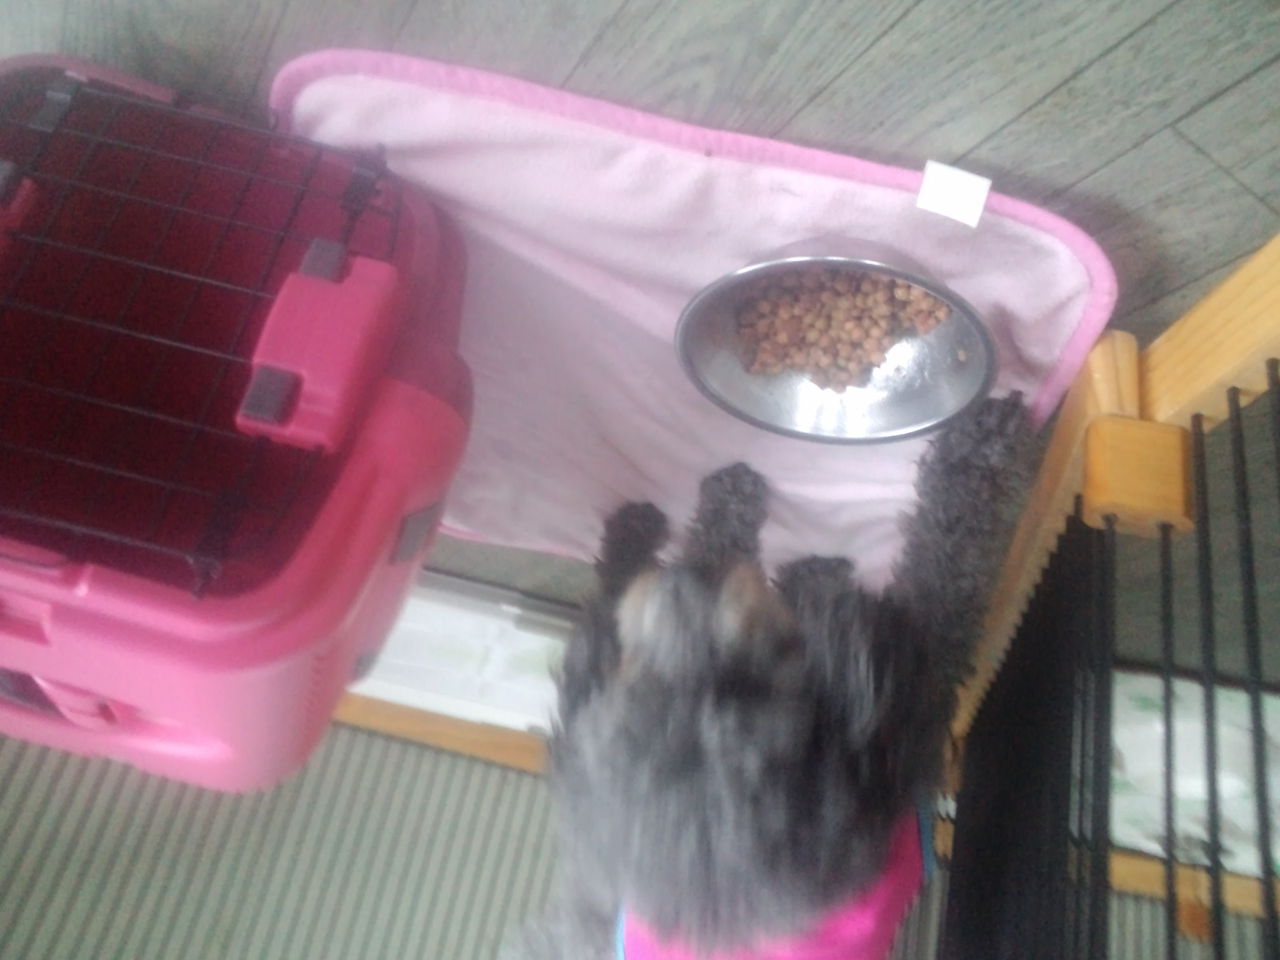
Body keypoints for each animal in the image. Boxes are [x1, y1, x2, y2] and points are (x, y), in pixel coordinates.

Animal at [507, 395, 1034, 960]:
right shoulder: (920, 668)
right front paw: (980, 444)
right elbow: (948, 553)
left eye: (756, 675)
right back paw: (638, 532)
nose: (681, 581)